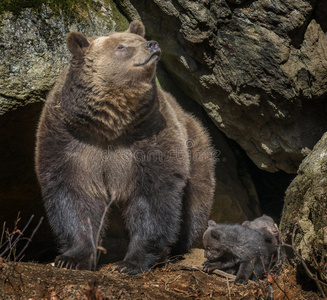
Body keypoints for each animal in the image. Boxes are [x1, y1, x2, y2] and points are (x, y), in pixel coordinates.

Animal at [35, 19, 215, 276]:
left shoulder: (146, 136)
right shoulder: (70, 139)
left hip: (196, 149)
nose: (152, 44)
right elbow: (74, 193)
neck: (110, 123)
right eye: (121, 46)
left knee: (195, 202)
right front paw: (71, 258)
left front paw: (131, 262)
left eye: (141, 39)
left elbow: (153, 194)